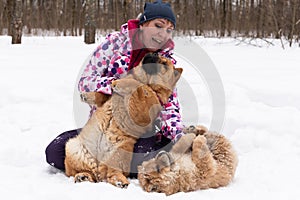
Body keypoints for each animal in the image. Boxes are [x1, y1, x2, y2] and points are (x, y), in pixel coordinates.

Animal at [64, 53, 182, 188]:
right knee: (81, 171)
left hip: (120, 153)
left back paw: (120, 181)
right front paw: (87, 95)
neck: (146, 80)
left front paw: (120, 82)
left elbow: (137, 86)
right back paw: (83, 176)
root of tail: (98, 164)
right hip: (72, 147)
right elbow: (103, 95)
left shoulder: (143, 110)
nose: (152, 53)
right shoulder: (109, 98)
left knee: (112, 174)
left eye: (165, 63)